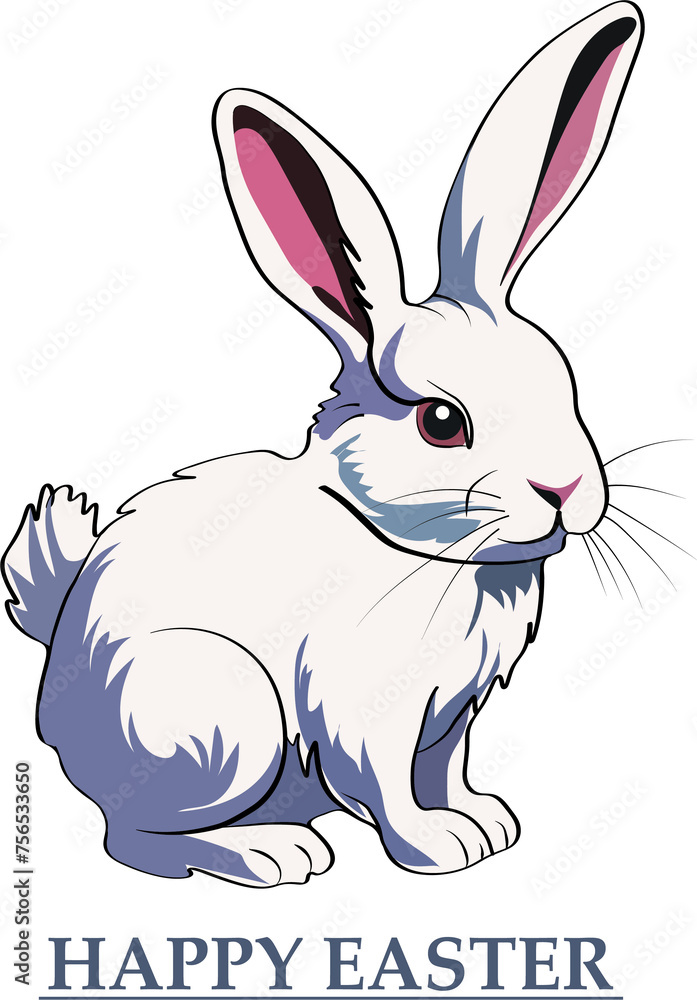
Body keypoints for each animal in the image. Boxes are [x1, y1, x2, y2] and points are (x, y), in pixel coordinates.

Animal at [3, 2, 643, 887]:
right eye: (441, 422)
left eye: (564, 381)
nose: (563, 492)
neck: (411, 544)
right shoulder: (367, 712)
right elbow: (389, 786)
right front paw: (439, 850)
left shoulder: (452, 716)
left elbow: (445, 772)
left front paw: (487, 826)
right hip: (224, 721)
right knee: (132, 837)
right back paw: (273, 853)